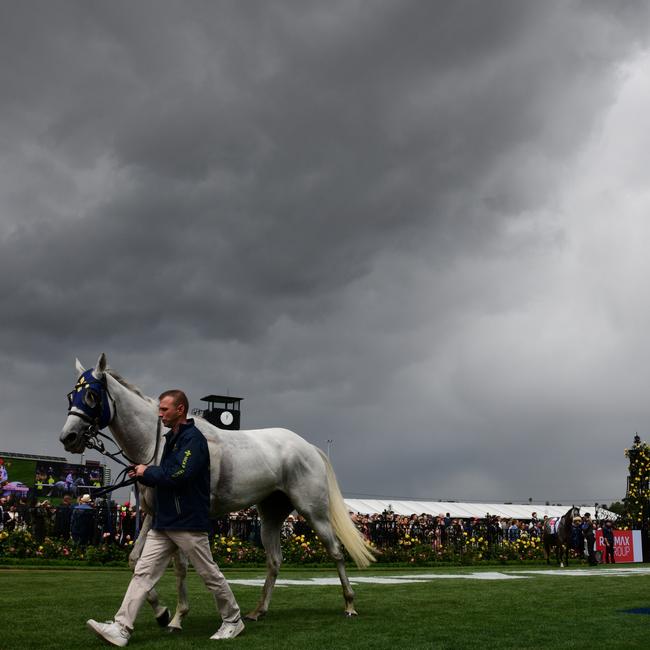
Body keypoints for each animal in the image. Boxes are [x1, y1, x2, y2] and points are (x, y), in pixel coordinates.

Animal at [62, 352, 374, 624]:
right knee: (274, 560)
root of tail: (308, 446)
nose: (69, 437)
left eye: (91, 395)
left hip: (314, 511)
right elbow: (135, 561)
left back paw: (349, 604)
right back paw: (258, 611)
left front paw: (177, 615)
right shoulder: (153, 515)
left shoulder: (178, 519)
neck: (159, 444)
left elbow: (179, 567)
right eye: (71, 395)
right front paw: (161, 611)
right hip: (270, 514)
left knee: (336, 551)